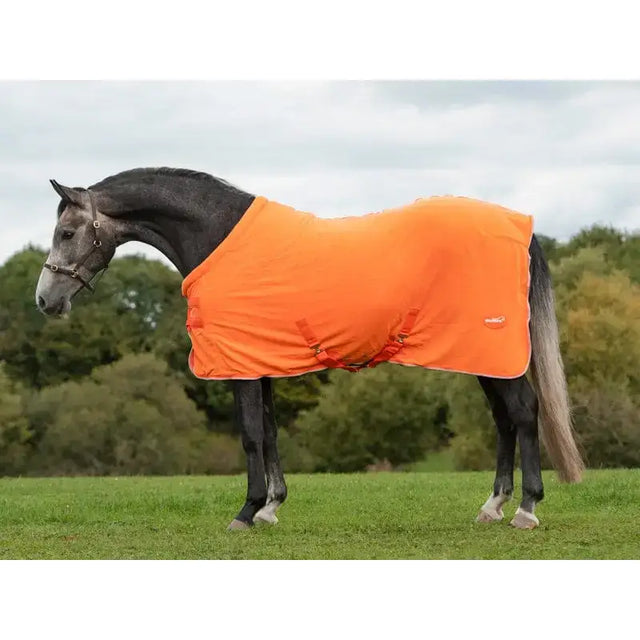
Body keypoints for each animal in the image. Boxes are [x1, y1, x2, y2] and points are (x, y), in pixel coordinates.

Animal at [35, 167, 584, 531]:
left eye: (67, 232)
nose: (45, 300)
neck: (221, 239)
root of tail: (520, 229)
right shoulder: (259, 362)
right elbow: (271, 433)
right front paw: (272, 506)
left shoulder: (240, 365)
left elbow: (250, 435)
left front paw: (246, 511)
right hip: (481, 356)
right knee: (505, 420)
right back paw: (492, 506)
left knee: (523, 412)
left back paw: (526, 509)